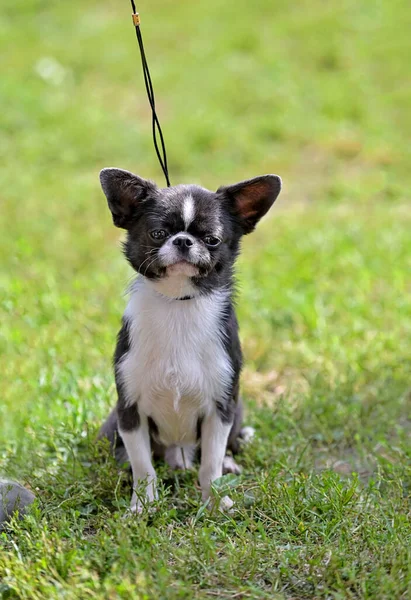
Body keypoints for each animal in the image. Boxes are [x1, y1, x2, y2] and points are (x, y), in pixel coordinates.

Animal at [98, 168, 282, 510]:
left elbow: (210, 462)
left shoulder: (220, 408)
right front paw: (142, 507)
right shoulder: (129, 410)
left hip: (237, 409)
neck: (178, 304)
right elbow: (143, 466)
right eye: (157, 233)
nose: (183, 240)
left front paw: (215, 503)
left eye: (211, 239)